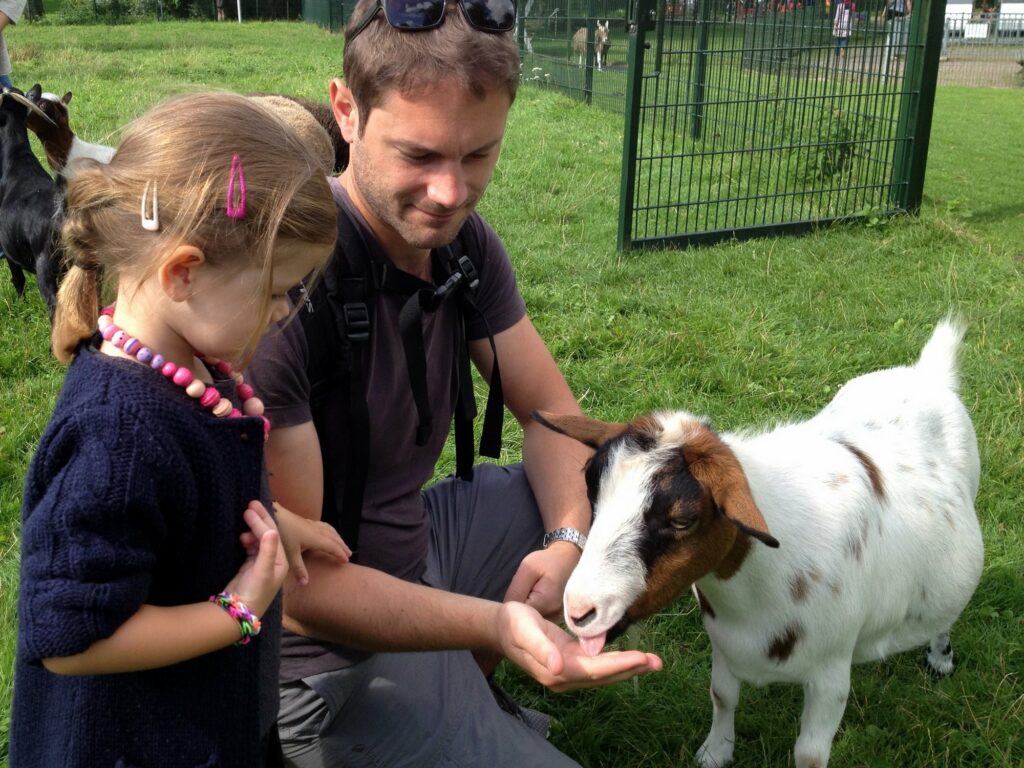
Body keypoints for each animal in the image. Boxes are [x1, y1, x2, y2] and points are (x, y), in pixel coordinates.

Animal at [532, 319, 978, 768]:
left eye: (681, 518)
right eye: (591, 492)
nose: (580, 611)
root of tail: (926, 372)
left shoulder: (831, 672)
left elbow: (809, 753)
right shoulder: (725, 644)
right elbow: (722, 696)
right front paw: (715, 753)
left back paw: (940, 658)